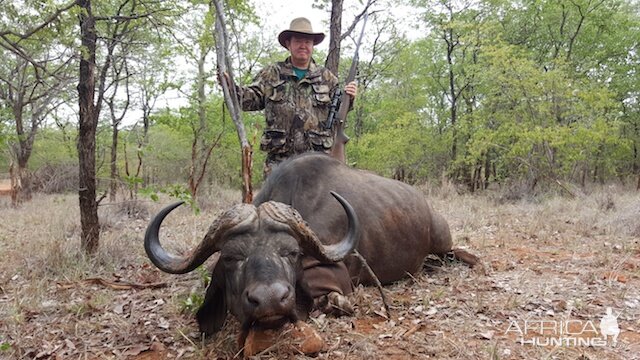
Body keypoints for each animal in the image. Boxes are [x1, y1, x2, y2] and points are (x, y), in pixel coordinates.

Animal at [145, 153, 476, 338]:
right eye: (230, 257)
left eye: (291, 253)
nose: (269, 301)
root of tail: (425, 205)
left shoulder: (336, 273)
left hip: (442, 239)